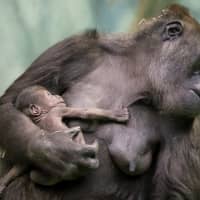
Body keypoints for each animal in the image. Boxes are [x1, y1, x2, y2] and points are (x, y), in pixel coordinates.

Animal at [0, 85, 128, 193]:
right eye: (49, 95)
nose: (57, 95)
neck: (41, 117)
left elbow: (22, 164)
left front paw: (3, 182)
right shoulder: (58, 110)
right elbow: (84, 112)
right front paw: (116, 114)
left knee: (34, 175)